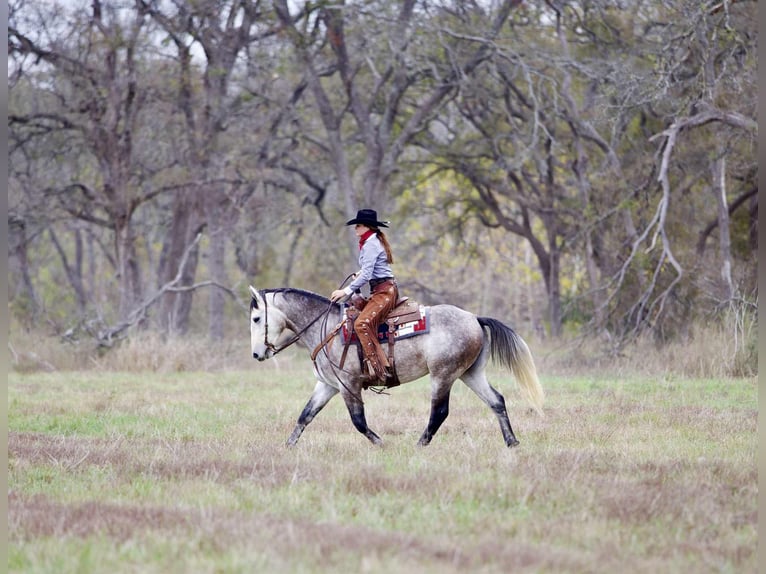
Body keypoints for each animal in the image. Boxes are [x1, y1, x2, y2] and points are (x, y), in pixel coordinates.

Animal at [249, 285, 544, 447]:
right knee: (496, 401)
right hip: (470, 374)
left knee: (440, 412)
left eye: (256, 318)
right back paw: (512, 442)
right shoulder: (328, 385)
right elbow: (305, 415)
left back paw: (420, 445)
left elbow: (358, 422)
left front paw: (382, 443)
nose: (256, 354)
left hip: (443, 376)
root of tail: (474, 317)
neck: (327, 327)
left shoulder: (348, 385)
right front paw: (287, 446)